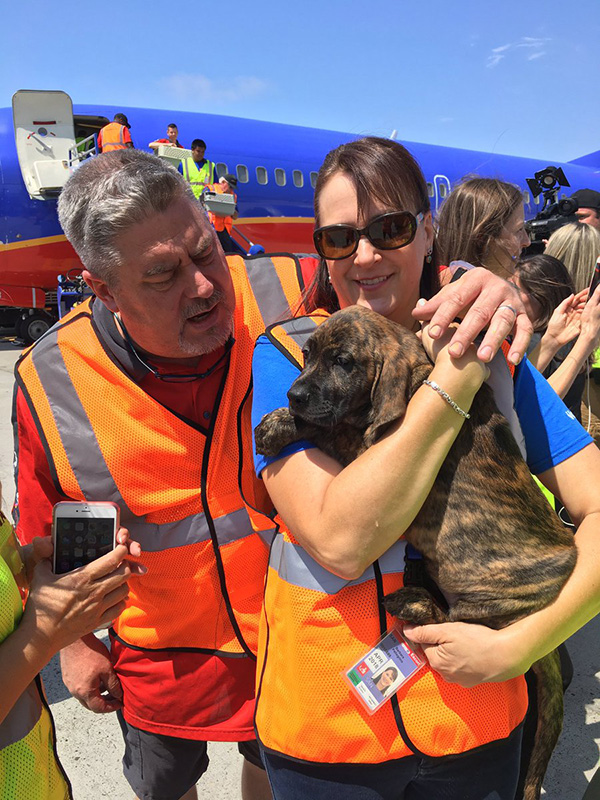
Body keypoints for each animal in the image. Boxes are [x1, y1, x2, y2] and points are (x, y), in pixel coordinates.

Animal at [255, 304, 580, 796]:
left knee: (459, 622)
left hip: (493, 598)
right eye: (307, 354)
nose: (293, 395)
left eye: (343, 362)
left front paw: (278, 426)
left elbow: (333, 427)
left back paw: (414, 602)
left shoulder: (364, 447)